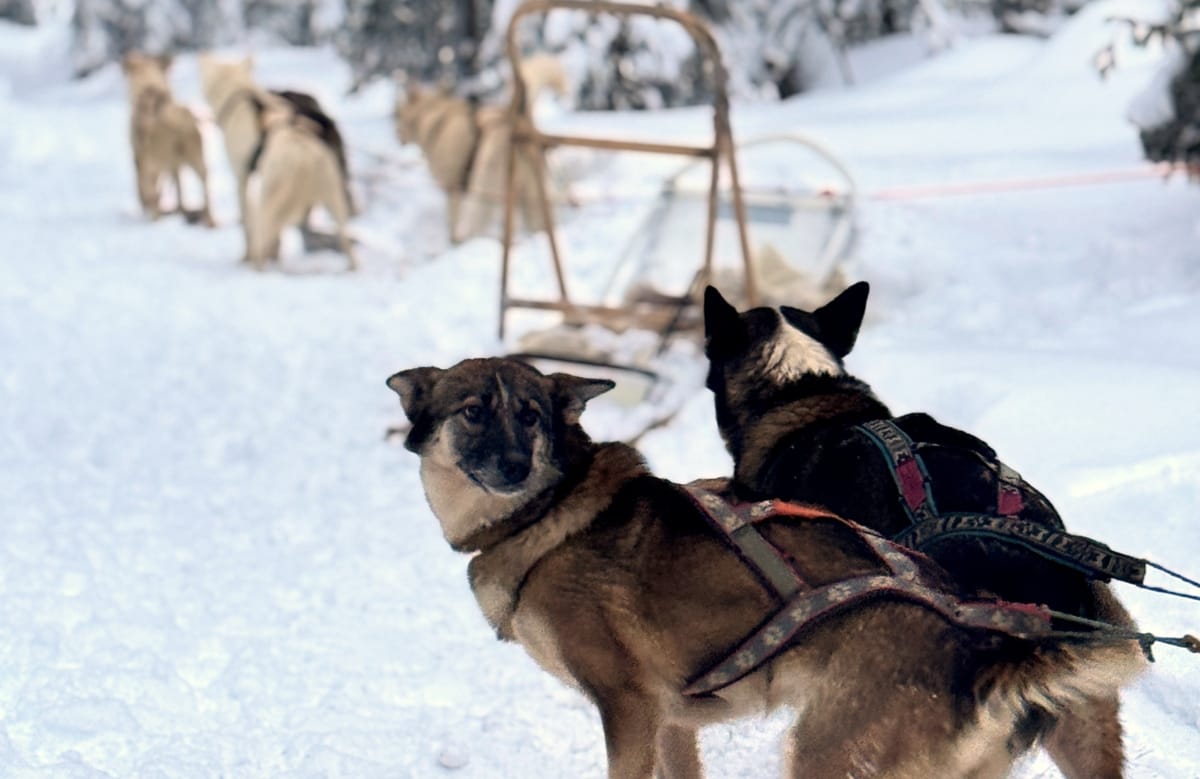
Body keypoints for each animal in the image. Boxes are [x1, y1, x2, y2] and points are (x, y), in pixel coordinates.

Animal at [121, 52, 214, 226]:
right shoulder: (174, 165)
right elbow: (178, 189)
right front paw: (180, 209)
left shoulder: (142, 160)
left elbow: (144, 191)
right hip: (196, 158)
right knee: (205, 187)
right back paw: (208, 219)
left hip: (153, 163)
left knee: (151, 193)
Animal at [198, 54, 355, 269]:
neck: (239, 92)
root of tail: (305, 156)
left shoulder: (242, 178)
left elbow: (247, 225)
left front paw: (246, 256)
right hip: (334, 200)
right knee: (347, 243)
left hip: (269, 204)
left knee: (263, 240)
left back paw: (257, 265)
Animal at [386, 356, 1143, 779]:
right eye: (472, 411)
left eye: (531, 415)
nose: (515, 466)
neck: (546, 514)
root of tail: (991, 647)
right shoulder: (672, 723)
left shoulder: (628, 709)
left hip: (825, 757)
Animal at [393, 55, 569, 244]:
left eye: (398, 114)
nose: (396, 134)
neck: (437, 120)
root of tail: (517, 123)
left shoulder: (453, 189)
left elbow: (452, 221)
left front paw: (454, 241)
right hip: (532, 199)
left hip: (486, 195)